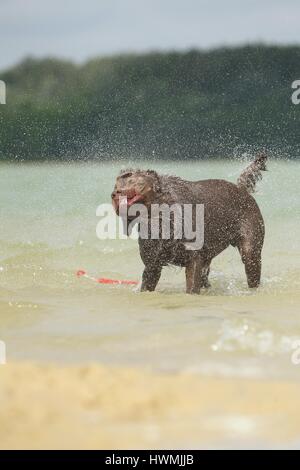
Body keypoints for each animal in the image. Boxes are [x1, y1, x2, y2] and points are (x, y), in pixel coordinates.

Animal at [111, 155, 266, 294]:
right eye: (116, 183)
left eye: (128, 175)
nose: (114, 194)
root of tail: (242, 189)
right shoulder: (153, 263)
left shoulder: (193, 258)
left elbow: (191, 287)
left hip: (250, 243)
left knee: (250, 261)